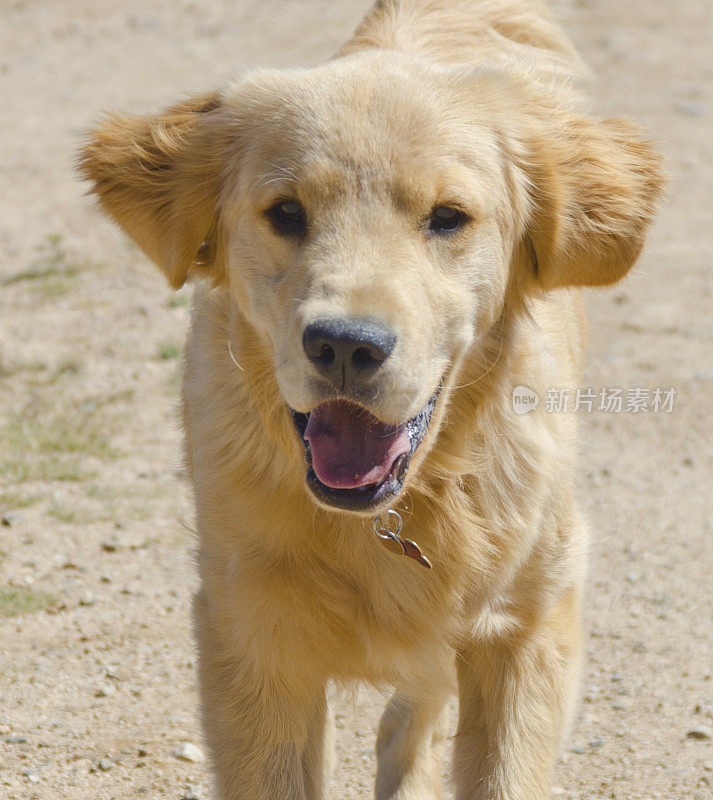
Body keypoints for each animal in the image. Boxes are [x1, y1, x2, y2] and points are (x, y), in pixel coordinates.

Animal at [78, 1, 660, 800]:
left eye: (447, 216)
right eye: (286, 212)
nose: (345, 345)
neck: (393, 513)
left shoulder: (528, 622)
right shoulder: (251, 637)